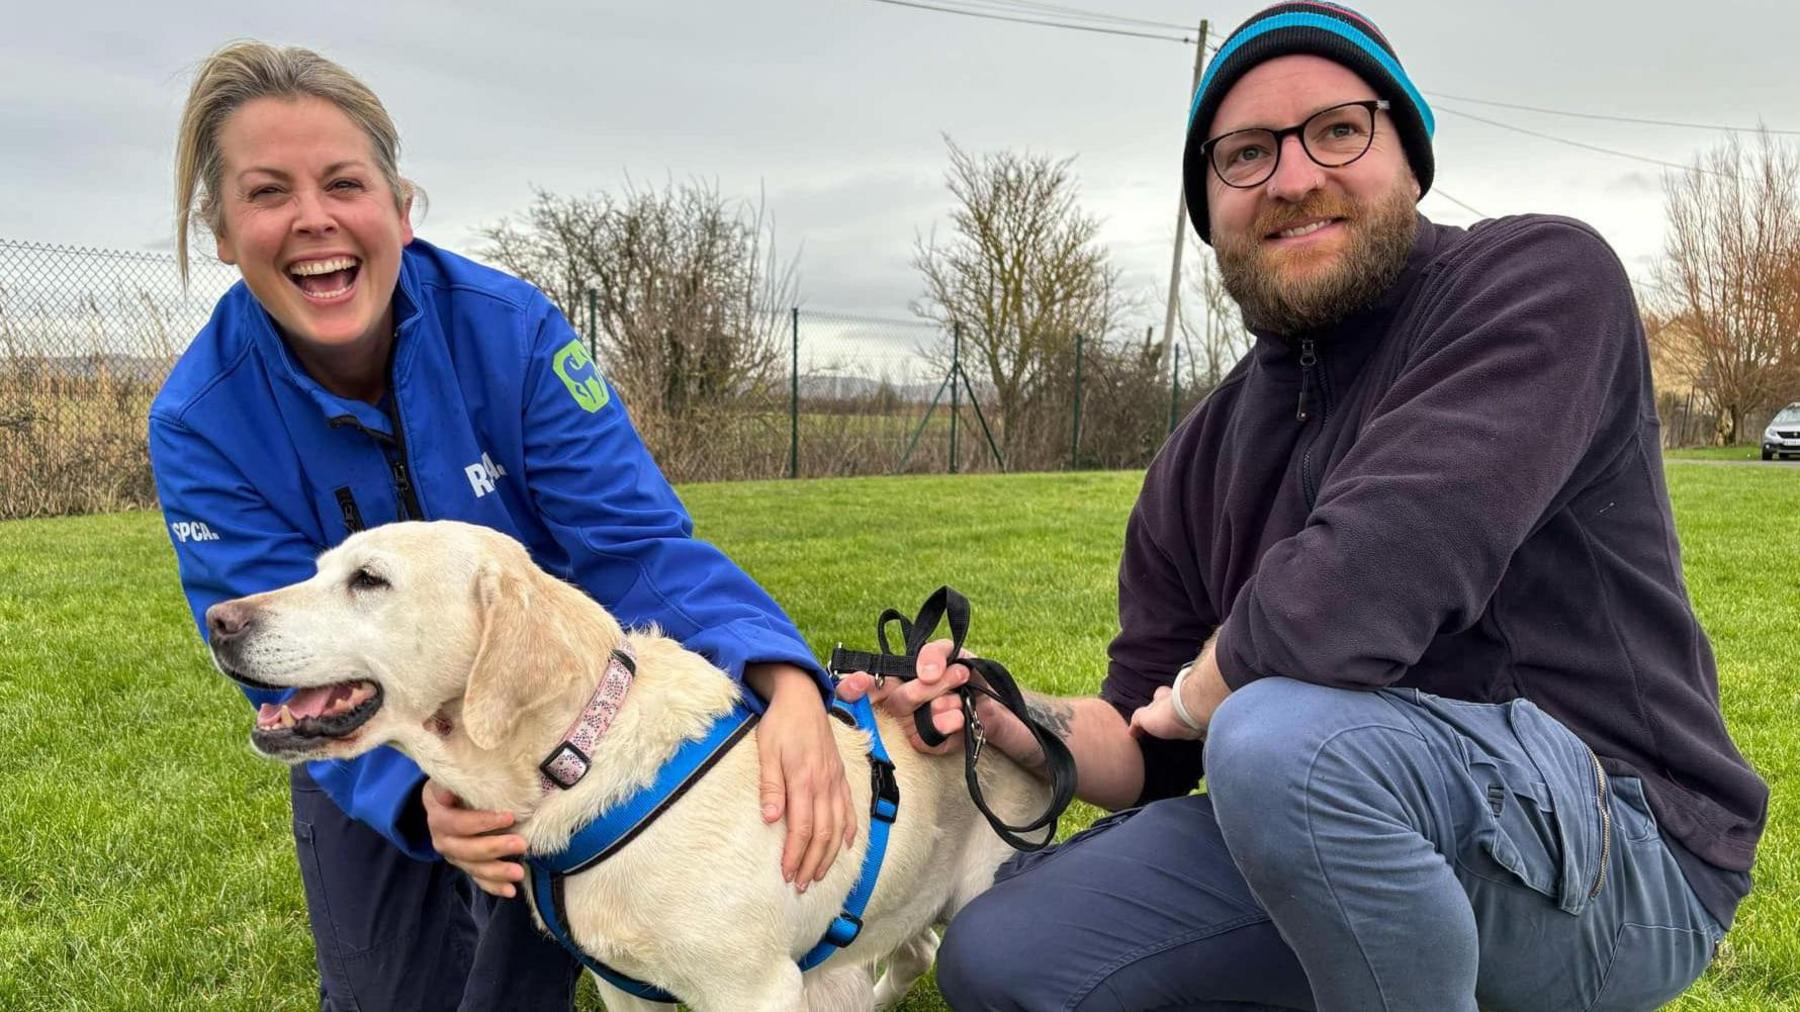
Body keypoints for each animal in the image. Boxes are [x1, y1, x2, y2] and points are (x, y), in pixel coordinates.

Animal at [207, 518, 1051, 1008]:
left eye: (369, 580)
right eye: (318, 568)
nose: (218, 618)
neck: (578, 757)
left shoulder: (752, 990)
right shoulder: (628, 990)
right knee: (912, 954)